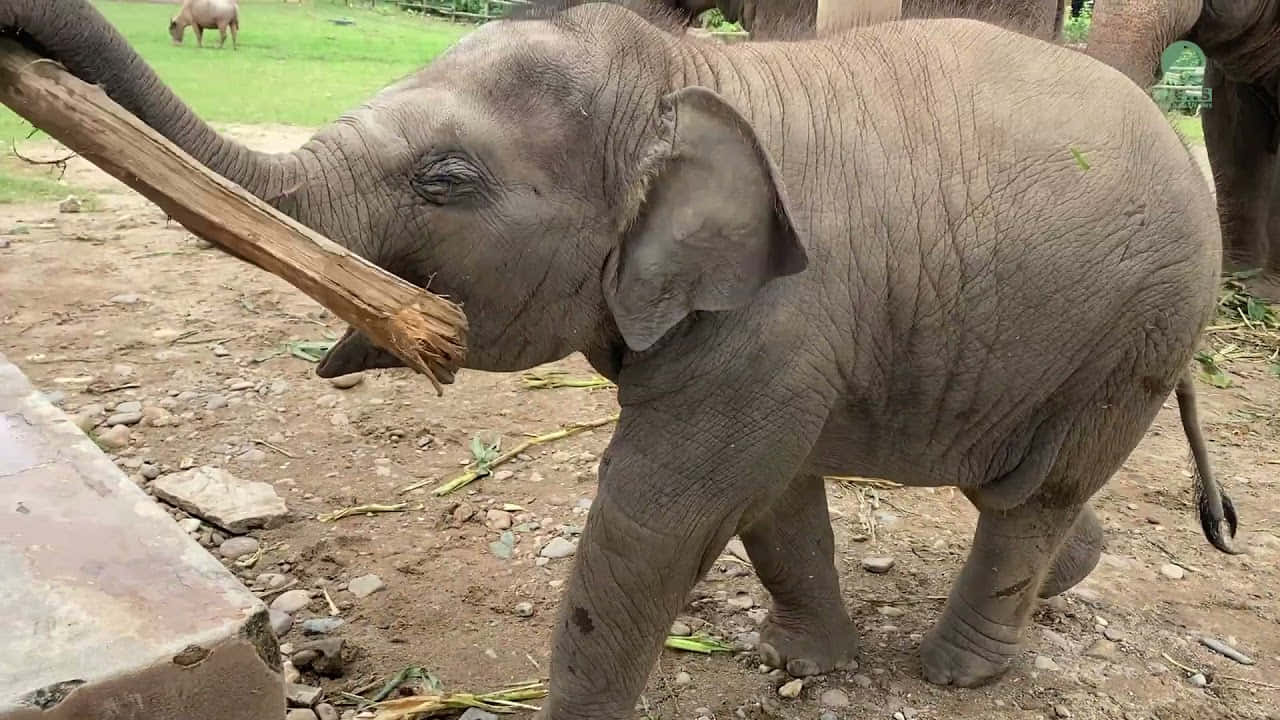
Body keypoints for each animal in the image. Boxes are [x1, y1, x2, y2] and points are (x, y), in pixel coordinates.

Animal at [3, 0, 1239, 716]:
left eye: (444, 179)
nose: (22, 38)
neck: (689, 72)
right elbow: (771, 500)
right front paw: (803, 664)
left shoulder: (773, 316)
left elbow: (658, 514)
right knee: (1029, 492)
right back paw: (1060, 581)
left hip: (1138, 323)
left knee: (1031, 495)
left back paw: (962, 675)